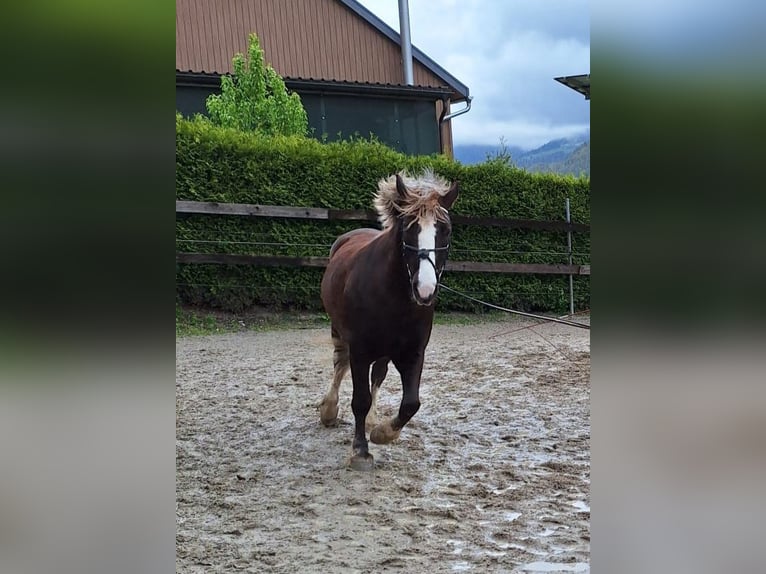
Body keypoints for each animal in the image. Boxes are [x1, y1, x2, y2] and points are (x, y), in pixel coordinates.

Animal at [318, 170, 459, 470]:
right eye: (408, 229)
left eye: (446, 230)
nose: (425, 290)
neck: (394, 297)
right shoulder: (360, 351)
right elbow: (358, 399)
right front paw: (361, 450)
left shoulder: (413, 353)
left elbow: (411, 404)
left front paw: (383, 433)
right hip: (339, 330)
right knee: (339, 364)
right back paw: (329, 410)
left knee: (378, 375)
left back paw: (373, 418)